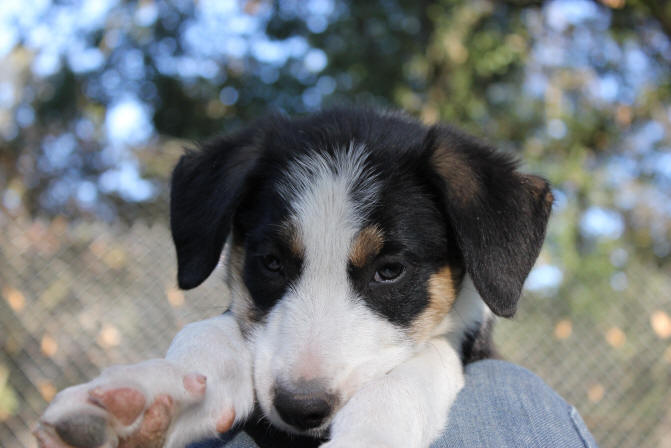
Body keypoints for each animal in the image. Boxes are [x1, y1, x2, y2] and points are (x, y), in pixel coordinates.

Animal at [34, 108, 552, 448]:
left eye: (390, 271)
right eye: (271, 262)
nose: (302, 408)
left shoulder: (465, 338)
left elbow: (422, 365)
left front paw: (369, 435)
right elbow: (209, 337)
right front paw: (146, 396)